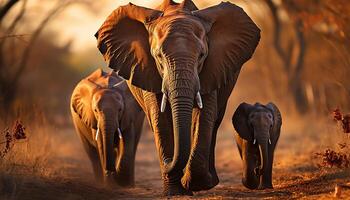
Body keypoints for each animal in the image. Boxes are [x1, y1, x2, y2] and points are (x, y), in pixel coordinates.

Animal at [95, 0, 260, 196]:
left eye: (202, 55)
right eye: (158, 56)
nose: (167, 162)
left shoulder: (211, 69)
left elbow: (203, 117)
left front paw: (196, 185)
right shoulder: (147, 69)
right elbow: (160, 119)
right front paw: (176, 191)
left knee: (215, 121)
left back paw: (209, 180)